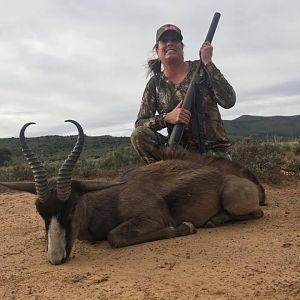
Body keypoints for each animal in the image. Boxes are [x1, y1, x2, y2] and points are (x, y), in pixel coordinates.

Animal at [1, 120, 264, 264]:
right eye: (40, 211)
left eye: (73, 206)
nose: (56, 258)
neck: (109, 199)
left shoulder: (151, 218)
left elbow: (114, 236)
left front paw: (184, 227)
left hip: (233, 199)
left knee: (257, 214)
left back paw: (213, 221)